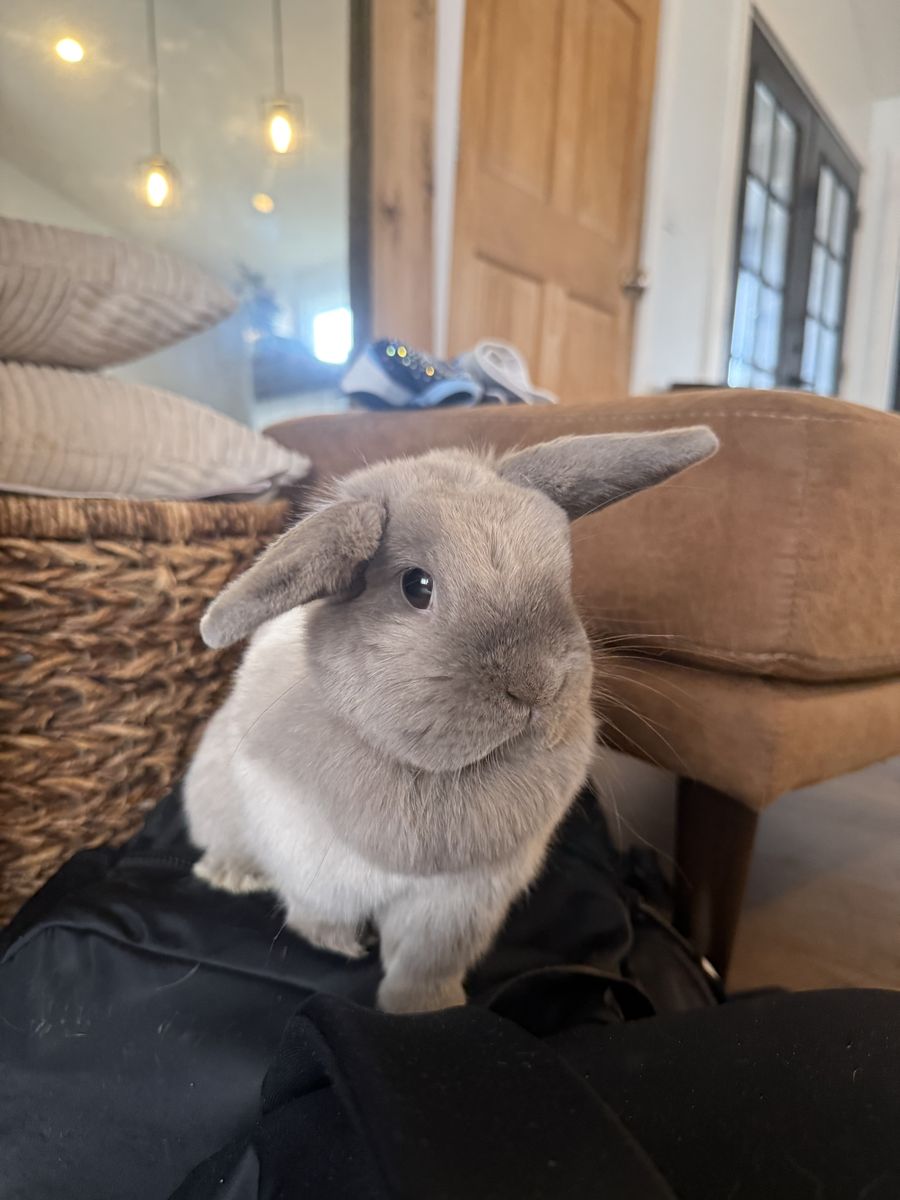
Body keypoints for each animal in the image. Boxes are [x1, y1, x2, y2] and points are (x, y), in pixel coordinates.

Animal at [184, 427, 718, 1013]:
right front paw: (343, 946)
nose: (538, 683)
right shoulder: (311, 868)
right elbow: (313, 917)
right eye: (416, 586)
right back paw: (229, 874)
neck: (437, 773)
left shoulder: (459, 902)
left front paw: (423, 1010)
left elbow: (425, 961)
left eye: (564, 573)